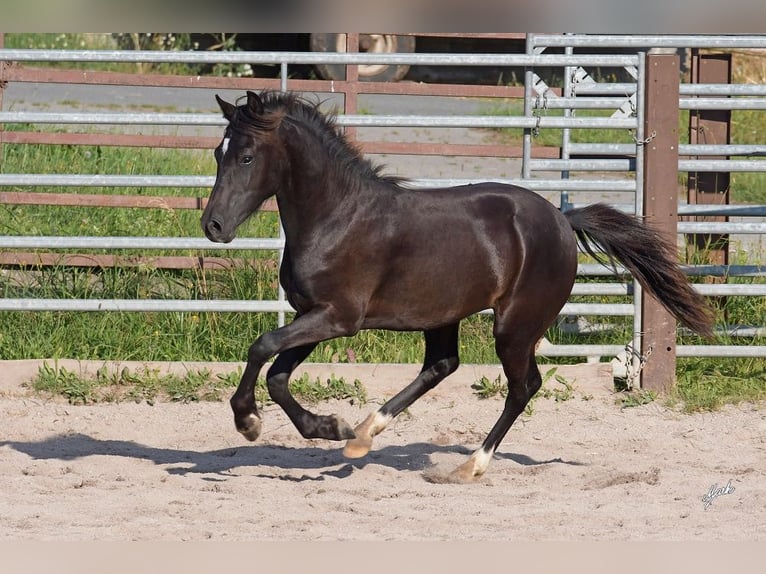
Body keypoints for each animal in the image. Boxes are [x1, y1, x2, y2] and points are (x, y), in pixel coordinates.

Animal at [201, 91, 716, 482]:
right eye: (218, 153)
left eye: (246, 156)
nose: (213, 226)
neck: (337, 216)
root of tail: (562, 219)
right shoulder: (314, 313)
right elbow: (277, 372)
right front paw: (331, 427)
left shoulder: (339, 317)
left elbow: (262, 346)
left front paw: (248, 422)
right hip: (444, 315)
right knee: (442, 365)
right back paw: (364, 435)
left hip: (515, 326)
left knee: (523, 386)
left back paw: (470, 466)